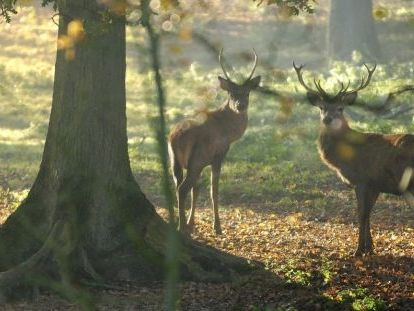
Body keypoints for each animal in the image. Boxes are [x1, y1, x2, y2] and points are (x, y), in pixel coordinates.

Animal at [167, 49, 258, 234]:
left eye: (247, 92)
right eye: (231, 93)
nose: (240, 105)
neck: (228, 133)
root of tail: (175, 137)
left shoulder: (202, 162)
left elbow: (196, 191)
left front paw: (192, 223)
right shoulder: (217, 155)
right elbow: (213, 191)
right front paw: (217, 227)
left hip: (175, 160)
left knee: (178, 185)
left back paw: (180, 224)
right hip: (196, 158)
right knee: (182, 189)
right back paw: (182, 228)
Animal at [294, 62, 414, 258]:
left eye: (340, 108)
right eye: (321, 107)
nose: (328, 119)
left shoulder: (362, 180)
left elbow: (361, 213)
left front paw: (358, 250)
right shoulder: (375, 184)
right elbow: (369, 213)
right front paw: (370, 248)